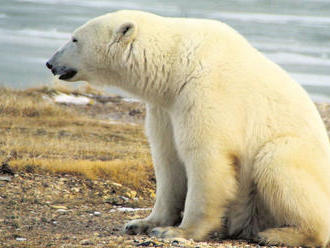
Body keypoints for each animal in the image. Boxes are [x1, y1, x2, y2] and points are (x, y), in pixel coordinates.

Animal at [46, 9, 330, 246]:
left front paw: (177, 231)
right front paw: (141, 223)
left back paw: (277, 234)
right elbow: (167, 160)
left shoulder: (206, 90)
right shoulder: (165, 107)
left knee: (277, 163)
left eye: (74, 39)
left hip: (296, 157)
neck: (177, 63)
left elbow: (206, 157)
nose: (49, 63)